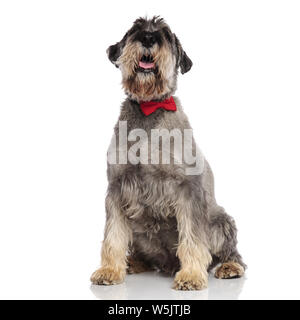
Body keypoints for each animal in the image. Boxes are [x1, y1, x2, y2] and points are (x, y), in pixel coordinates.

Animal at [90, 16, 245, 290]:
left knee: (230, 252)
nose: (148, 38)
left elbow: (193, 238)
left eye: (166, 34)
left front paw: (191, 275)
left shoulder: (188, 189)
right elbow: (113, 235)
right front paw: (109, 270)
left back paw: (229, 267)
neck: (149, 109)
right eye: (134, 30)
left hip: (220, 222)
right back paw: (133, 263)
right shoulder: (118, 188)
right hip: (138, 229)